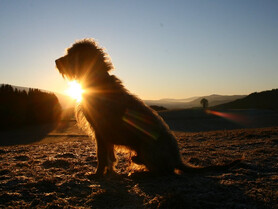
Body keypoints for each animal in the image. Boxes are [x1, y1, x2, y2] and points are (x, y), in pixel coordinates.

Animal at [54, 38, 241, 176]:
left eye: (70, 53)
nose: (56, 61)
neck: (96, 81)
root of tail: (177, 158)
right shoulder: (105, 135)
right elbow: (109, 156)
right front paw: (110, 171)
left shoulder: (101, 132)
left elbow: (101, 155)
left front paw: (98, 174)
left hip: (147, 147)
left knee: (165, 170)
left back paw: (141, 168)